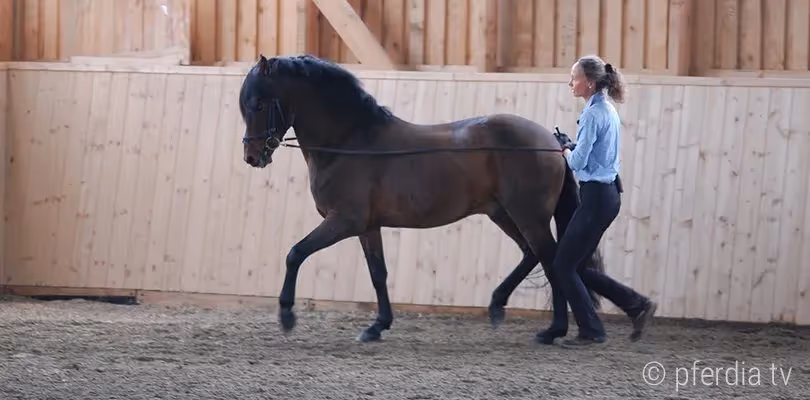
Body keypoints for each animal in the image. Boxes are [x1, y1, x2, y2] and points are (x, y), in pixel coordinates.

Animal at [238, 54, 606, 342]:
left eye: (259, 104)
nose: (252, 157)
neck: (349, 142)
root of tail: (553, 143)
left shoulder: (343, 221)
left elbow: (295, 253)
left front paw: (287, 314)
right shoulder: (367, 227)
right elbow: (378, 273)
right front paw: (377, 326)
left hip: (528, 216)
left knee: (550, 259)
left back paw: (553, 330)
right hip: (502, 213)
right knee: (533, 255)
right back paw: (499, 306)